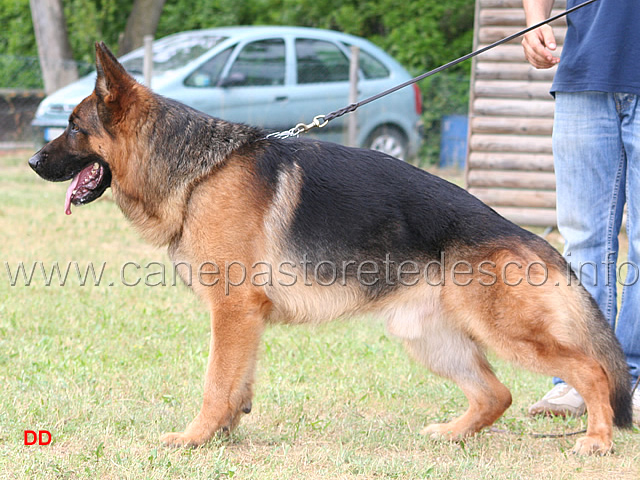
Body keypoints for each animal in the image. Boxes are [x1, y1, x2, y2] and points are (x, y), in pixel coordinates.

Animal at [28, 42, 632, 454]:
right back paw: (451, 434)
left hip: (507, 333)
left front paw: (195, 437)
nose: (32, 162)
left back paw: (598, 439)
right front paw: (225, 432)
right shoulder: (245, 318)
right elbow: (237, 382)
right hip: (426, 337)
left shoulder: (233, 310)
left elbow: (214, 381)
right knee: (495, 394)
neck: (199, 173)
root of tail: (528, 236)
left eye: (73, 126)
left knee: (592, 372)